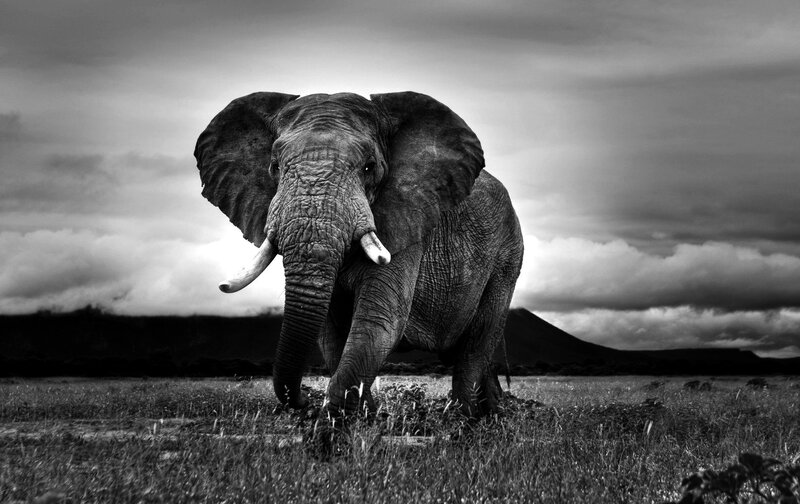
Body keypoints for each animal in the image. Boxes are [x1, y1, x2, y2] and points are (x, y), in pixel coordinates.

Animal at [194, 91, 523, 417]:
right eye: (275, 166)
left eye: (369, 167)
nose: (302, 400)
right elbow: (331, 334)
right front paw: (366, 418)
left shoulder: (407, 221)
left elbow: (378, 321)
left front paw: (338, 421)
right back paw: (492, 414)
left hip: (507, 256)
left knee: (476, 344)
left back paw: (465, 419)